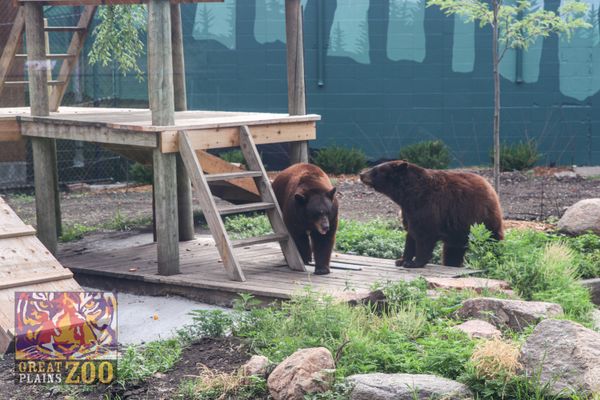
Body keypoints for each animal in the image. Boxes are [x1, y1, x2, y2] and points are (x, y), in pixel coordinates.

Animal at [358, 160, 504, 268]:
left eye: (375, 170)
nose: (361, 174)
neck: (409, 194)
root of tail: (490, 188)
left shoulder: (427, 205)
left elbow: (424, 235)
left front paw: (414, 262)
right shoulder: (409, 211)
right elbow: (410, 234)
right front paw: (401, 260)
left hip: (481, 219)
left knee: (492, 240)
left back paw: (495, 258)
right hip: (458, 231)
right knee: (453, 250)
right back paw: (451, 263)